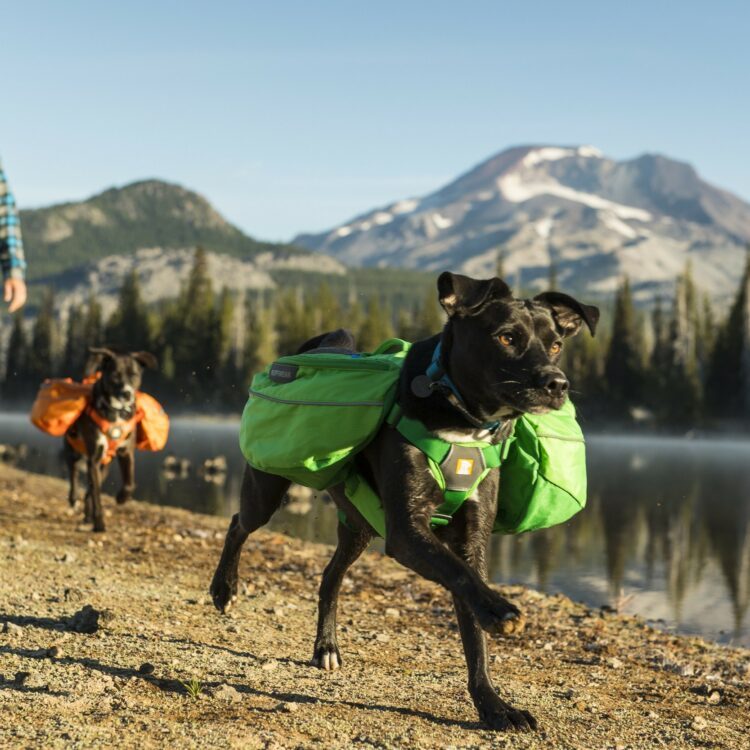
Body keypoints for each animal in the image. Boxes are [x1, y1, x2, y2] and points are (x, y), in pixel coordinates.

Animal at [64, 348, 157, 536]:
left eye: (134, 374)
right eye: (115, 375)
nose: (127, 394)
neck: (115, 413)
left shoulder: (125, 453)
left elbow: (129, 482)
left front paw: (122, 497)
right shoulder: (94, 458)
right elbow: (96, 495)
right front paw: (99, 524)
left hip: (105, 464)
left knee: (91, 487)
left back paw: (87, 515)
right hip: (73, 449)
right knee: (74, 472)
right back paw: (74, 498)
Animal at [210, 274, 600, 732]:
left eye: (555, 344)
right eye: (507, 337)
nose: (557, 383)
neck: (463, 424)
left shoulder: (471, 537)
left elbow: (472, 624)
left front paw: (492, 705)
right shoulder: (407, 530)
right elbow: (460, 575)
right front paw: (499, 609)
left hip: (359, 525)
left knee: (330, 577)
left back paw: (326, 646)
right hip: (267, 490)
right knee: (239, 522)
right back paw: (224, 588)